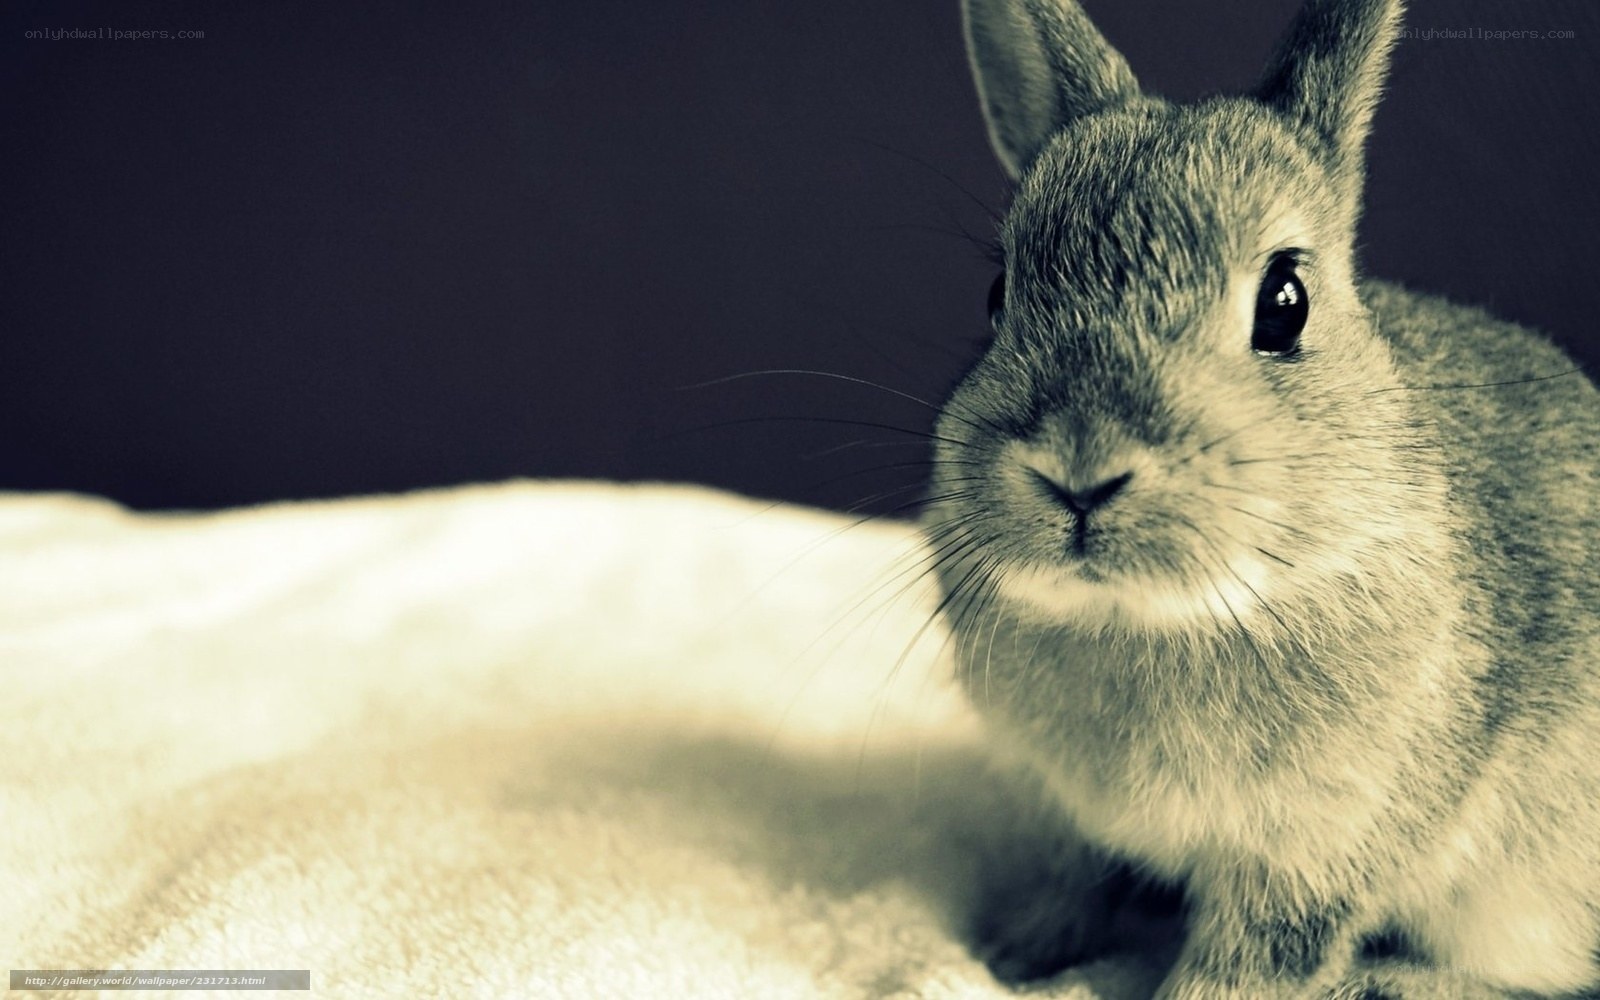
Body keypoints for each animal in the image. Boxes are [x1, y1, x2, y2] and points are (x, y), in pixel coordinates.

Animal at [922, 0, 1600, 997]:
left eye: (1285, 302)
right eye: (999, 293)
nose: (1080, 470)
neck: (1150, 617)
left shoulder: (1313, 852)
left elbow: (1247, 964)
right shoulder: (1071, 823)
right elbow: (1072, 886)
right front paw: (1012, 958)